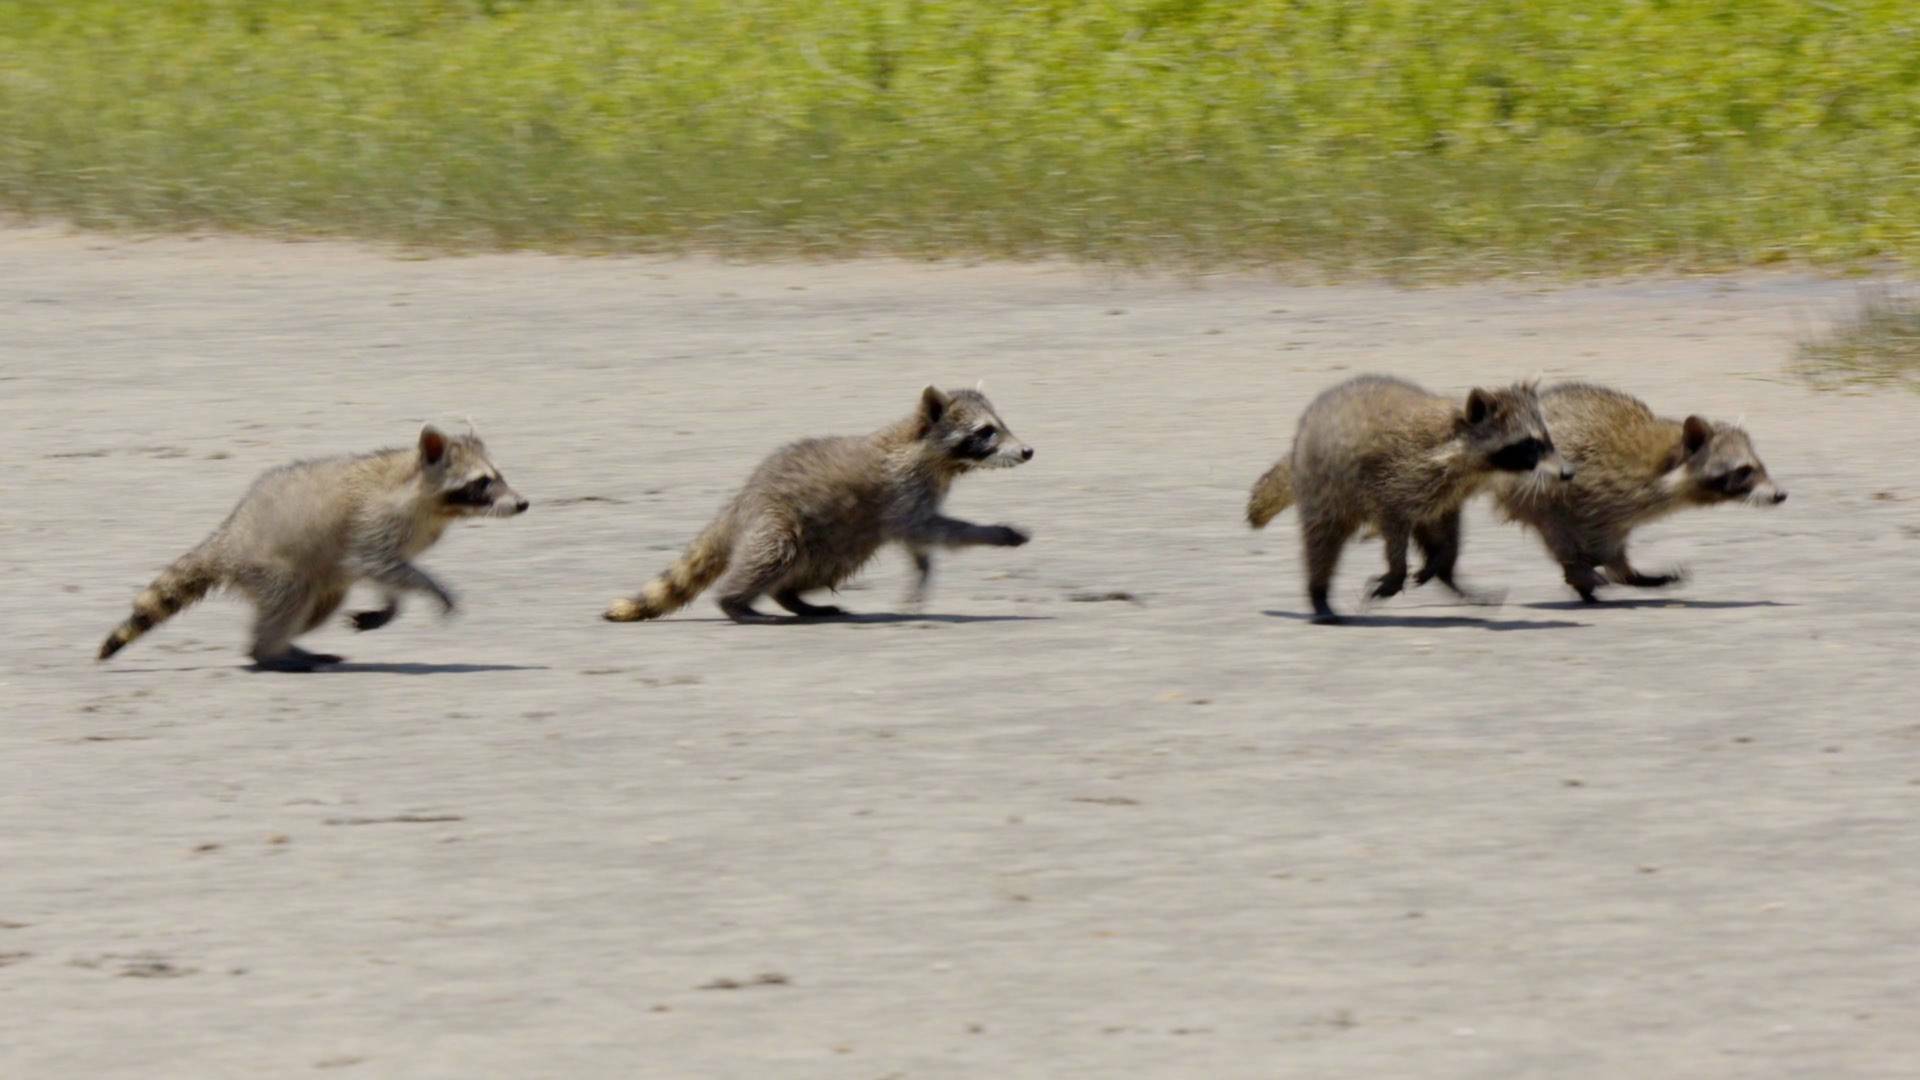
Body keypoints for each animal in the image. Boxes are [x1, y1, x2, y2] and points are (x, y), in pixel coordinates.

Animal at [96, 424, 529, 668]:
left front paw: (391, 606)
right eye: (482, 483)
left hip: (320, 579)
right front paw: (433, 588)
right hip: (272, 567)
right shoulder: (375, 521)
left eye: (499, 476)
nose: (523, 504)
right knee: (289, 599)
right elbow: (381, 564)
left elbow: (389, 571)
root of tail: (228, 539)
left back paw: (288, 645)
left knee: (317, 607)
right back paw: (266, 652)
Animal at [606, 386, 1036, 622]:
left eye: (1001, 425)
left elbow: (919, 542)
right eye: (986, 431)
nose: (1027, 451)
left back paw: (792, 598)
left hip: (836, 541)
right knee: (771, 555)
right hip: (782, 520)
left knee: (815, 568)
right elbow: (935, 530)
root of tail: (740, 503)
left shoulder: (912, 501)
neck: (933, 455)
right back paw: (735, 601)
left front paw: (922, 572)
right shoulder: (901, 493)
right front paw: (993, 532)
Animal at [1244, 372, 1574, 618]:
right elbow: (1393, 523)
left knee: (1437, 534)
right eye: (1530, 445)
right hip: (1326, 486)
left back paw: (1449, 577)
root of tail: (1299, 442)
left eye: (1547, 440)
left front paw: (1440, 564)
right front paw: (1396, 571)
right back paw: (1319, 593)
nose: (1568, 472)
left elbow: (1444, 527)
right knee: (1322, 540)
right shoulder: (1396, 478)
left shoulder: (1448, 491)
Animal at [1489, 380, 1789, 599]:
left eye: (1760, 466)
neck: (1667, 462)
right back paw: (1584, 572)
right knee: (1553, 522)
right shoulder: (1598, 487)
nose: (1780, 495)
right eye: (1744, 471)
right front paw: (1589, 565)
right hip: (1530, 481)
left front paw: (1618, 570)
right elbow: (1591, 528)